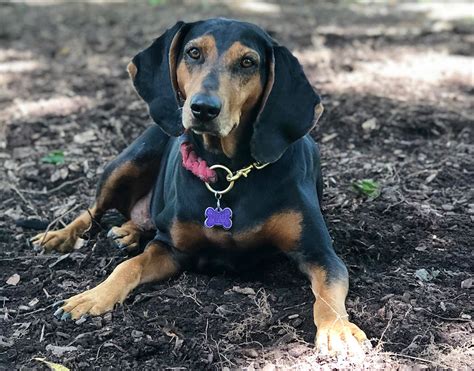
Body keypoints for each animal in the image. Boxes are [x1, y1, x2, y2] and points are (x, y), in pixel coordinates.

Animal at [31, 18, 368, 358]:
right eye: (193, 52)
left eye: (248, 62)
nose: (204, 108)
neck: (226, 172)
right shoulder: (170, 248)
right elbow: (128, 266)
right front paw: (92, 296)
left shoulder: (319, 252)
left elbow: (328, 291)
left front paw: (337, 330)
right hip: (128, 161)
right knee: (94, 211)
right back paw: (59, 236)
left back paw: (127, 231)